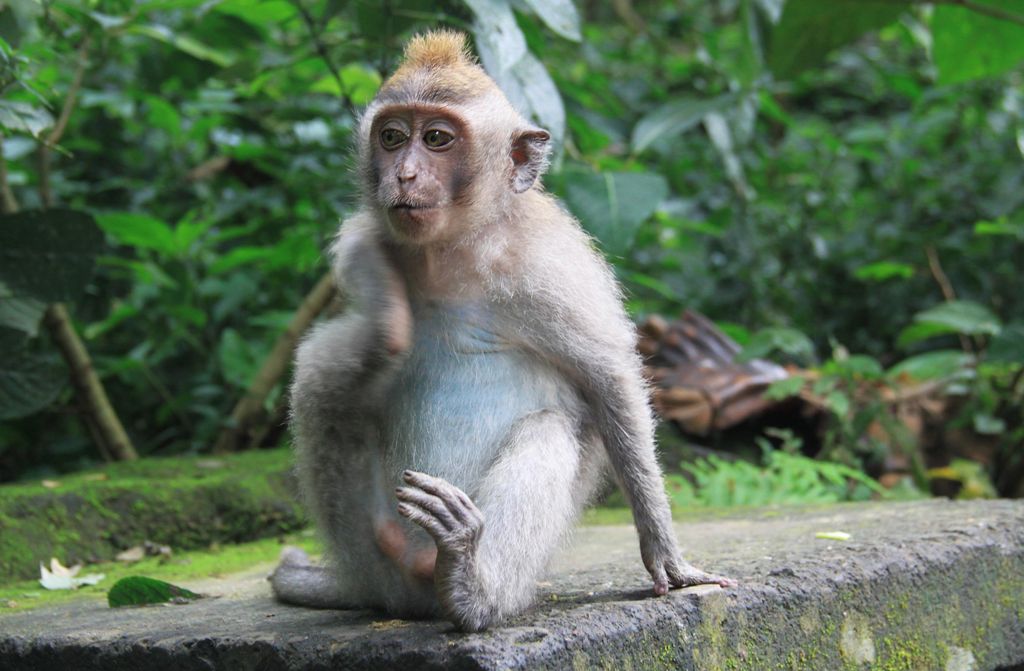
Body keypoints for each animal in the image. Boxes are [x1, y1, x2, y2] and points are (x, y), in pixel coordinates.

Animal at [270, 30, 733, 632]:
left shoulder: (550, 266)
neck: (454, 253)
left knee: (550, 428)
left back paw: (469, 583)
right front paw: (386, 311)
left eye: (437, 139)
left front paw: (668, 559)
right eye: (392, 138)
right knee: (320, 383)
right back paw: (381, 572)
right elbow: (355, 321)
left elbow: (609, 381)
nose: (404, 175)